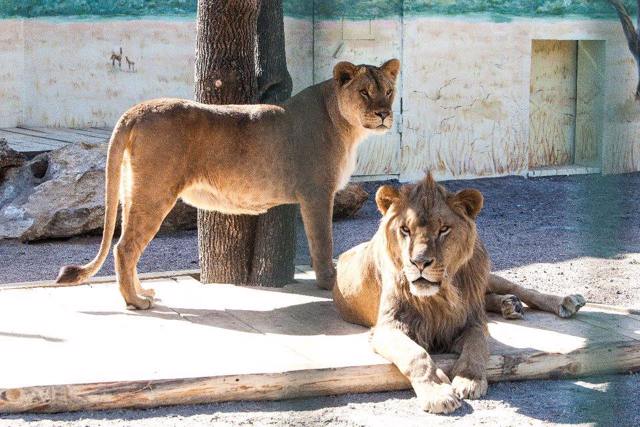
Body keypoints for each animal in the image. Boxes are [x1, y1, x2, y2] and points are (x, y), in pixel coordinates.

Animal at [58, 59, 400, 308]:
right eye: (364, 92)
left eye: (388, 91)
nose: (384, 114)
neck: (347, 127)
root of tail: (136, 110)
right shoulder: (317, 193)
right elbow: (322, 241)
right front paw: (330, 283)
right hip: (154, 193)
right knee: (124, 247)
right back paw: (136, 301)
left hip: (133, 191)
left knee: (127, 246)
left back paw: (143, 292)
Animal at [332, 175, 588, 414]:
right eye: (405, 230)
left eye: (443, 229)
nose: (419, 262)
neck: (440, 294)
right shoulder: (387, 328)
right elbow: (416, 356)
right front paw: (437, 394)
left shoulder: (472, 322)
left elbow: (476, 346)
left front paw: (470, 380)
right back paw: (509, 305)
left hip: (486, 277)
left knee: (519, 289)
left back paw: (564, 302)